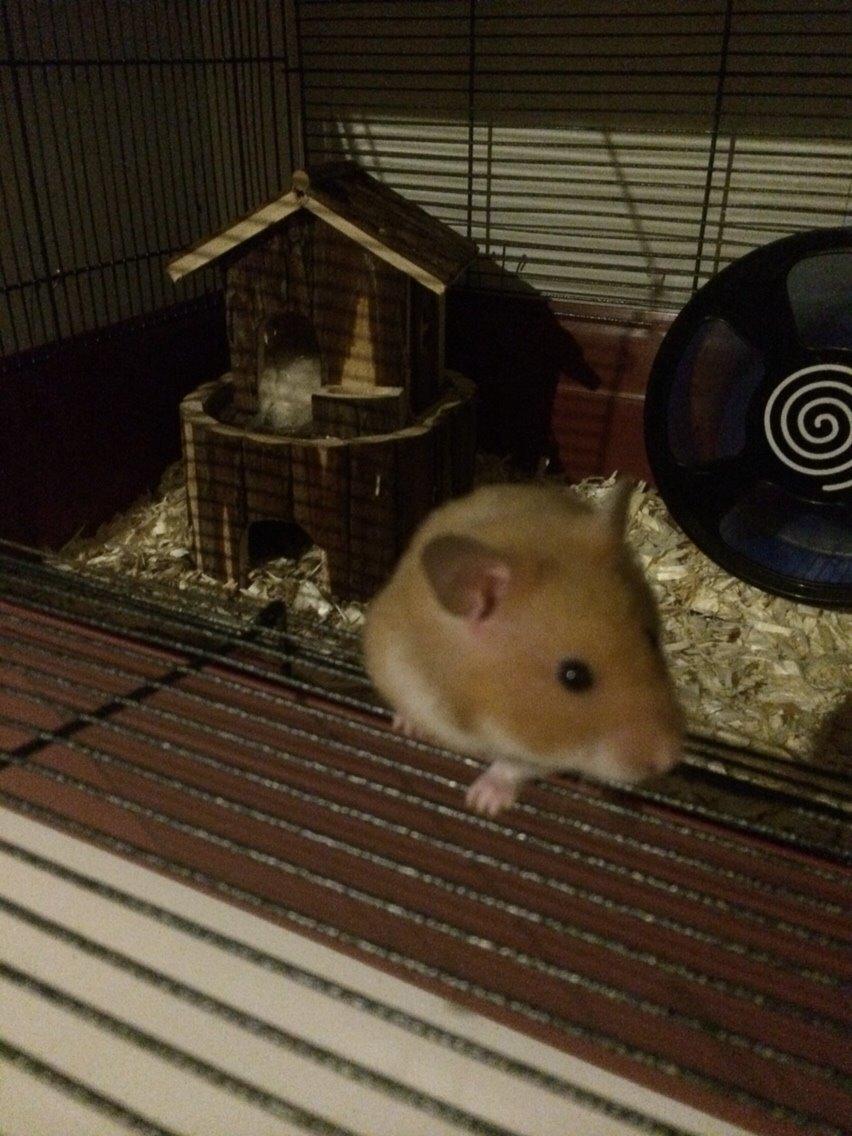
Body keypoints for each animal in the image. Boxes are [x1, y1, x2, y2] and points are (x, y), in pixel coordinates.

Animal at [362, 479, 683, 816]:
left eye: (651, 638)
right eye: (573, 676)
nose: (670, 758)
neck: (476, 715)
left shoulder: (542, 748)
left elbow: (515, 766)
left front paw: (482, 804)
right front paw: (407, 727)